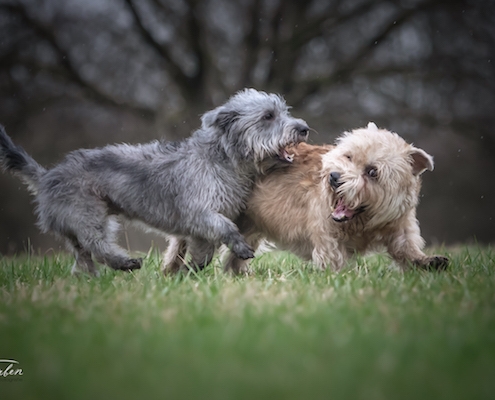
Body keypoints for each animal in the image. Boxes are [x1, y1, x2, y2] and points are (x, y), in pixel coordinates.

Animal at [0, 88, 310, 274]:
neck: (223, 160)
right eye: (268, 116)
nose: (304, 128)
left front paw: (186, 273)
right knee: (97, 244)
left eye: (284, 111)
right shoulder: (201, 213)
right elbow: (225, 227)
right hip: (87, 214)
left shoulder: (199, 230)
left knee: (83, 257)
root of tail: (47, 176)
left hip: (79, 224)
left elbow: (202, 253)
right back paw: (126, 262)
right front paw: (239, 248)